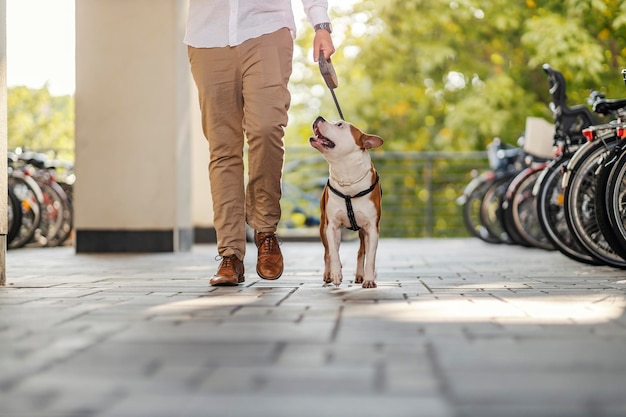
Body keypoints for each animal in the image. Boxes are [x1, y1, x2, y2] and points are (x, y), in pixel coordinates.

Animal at [306, 115, 380, 288]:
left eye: (339, 124)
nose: (319, 117)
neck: (347, 176)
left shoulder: (372, 228)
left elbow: (370, 257)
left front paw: (369, 279)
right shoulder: (332, 226)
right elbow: (333, 252)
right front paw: (336, 274)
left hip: (362, 231)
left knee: (361, 251)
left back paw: (360, 275)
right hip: (322, 227)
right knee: (327, 252)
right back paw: (328, 274)